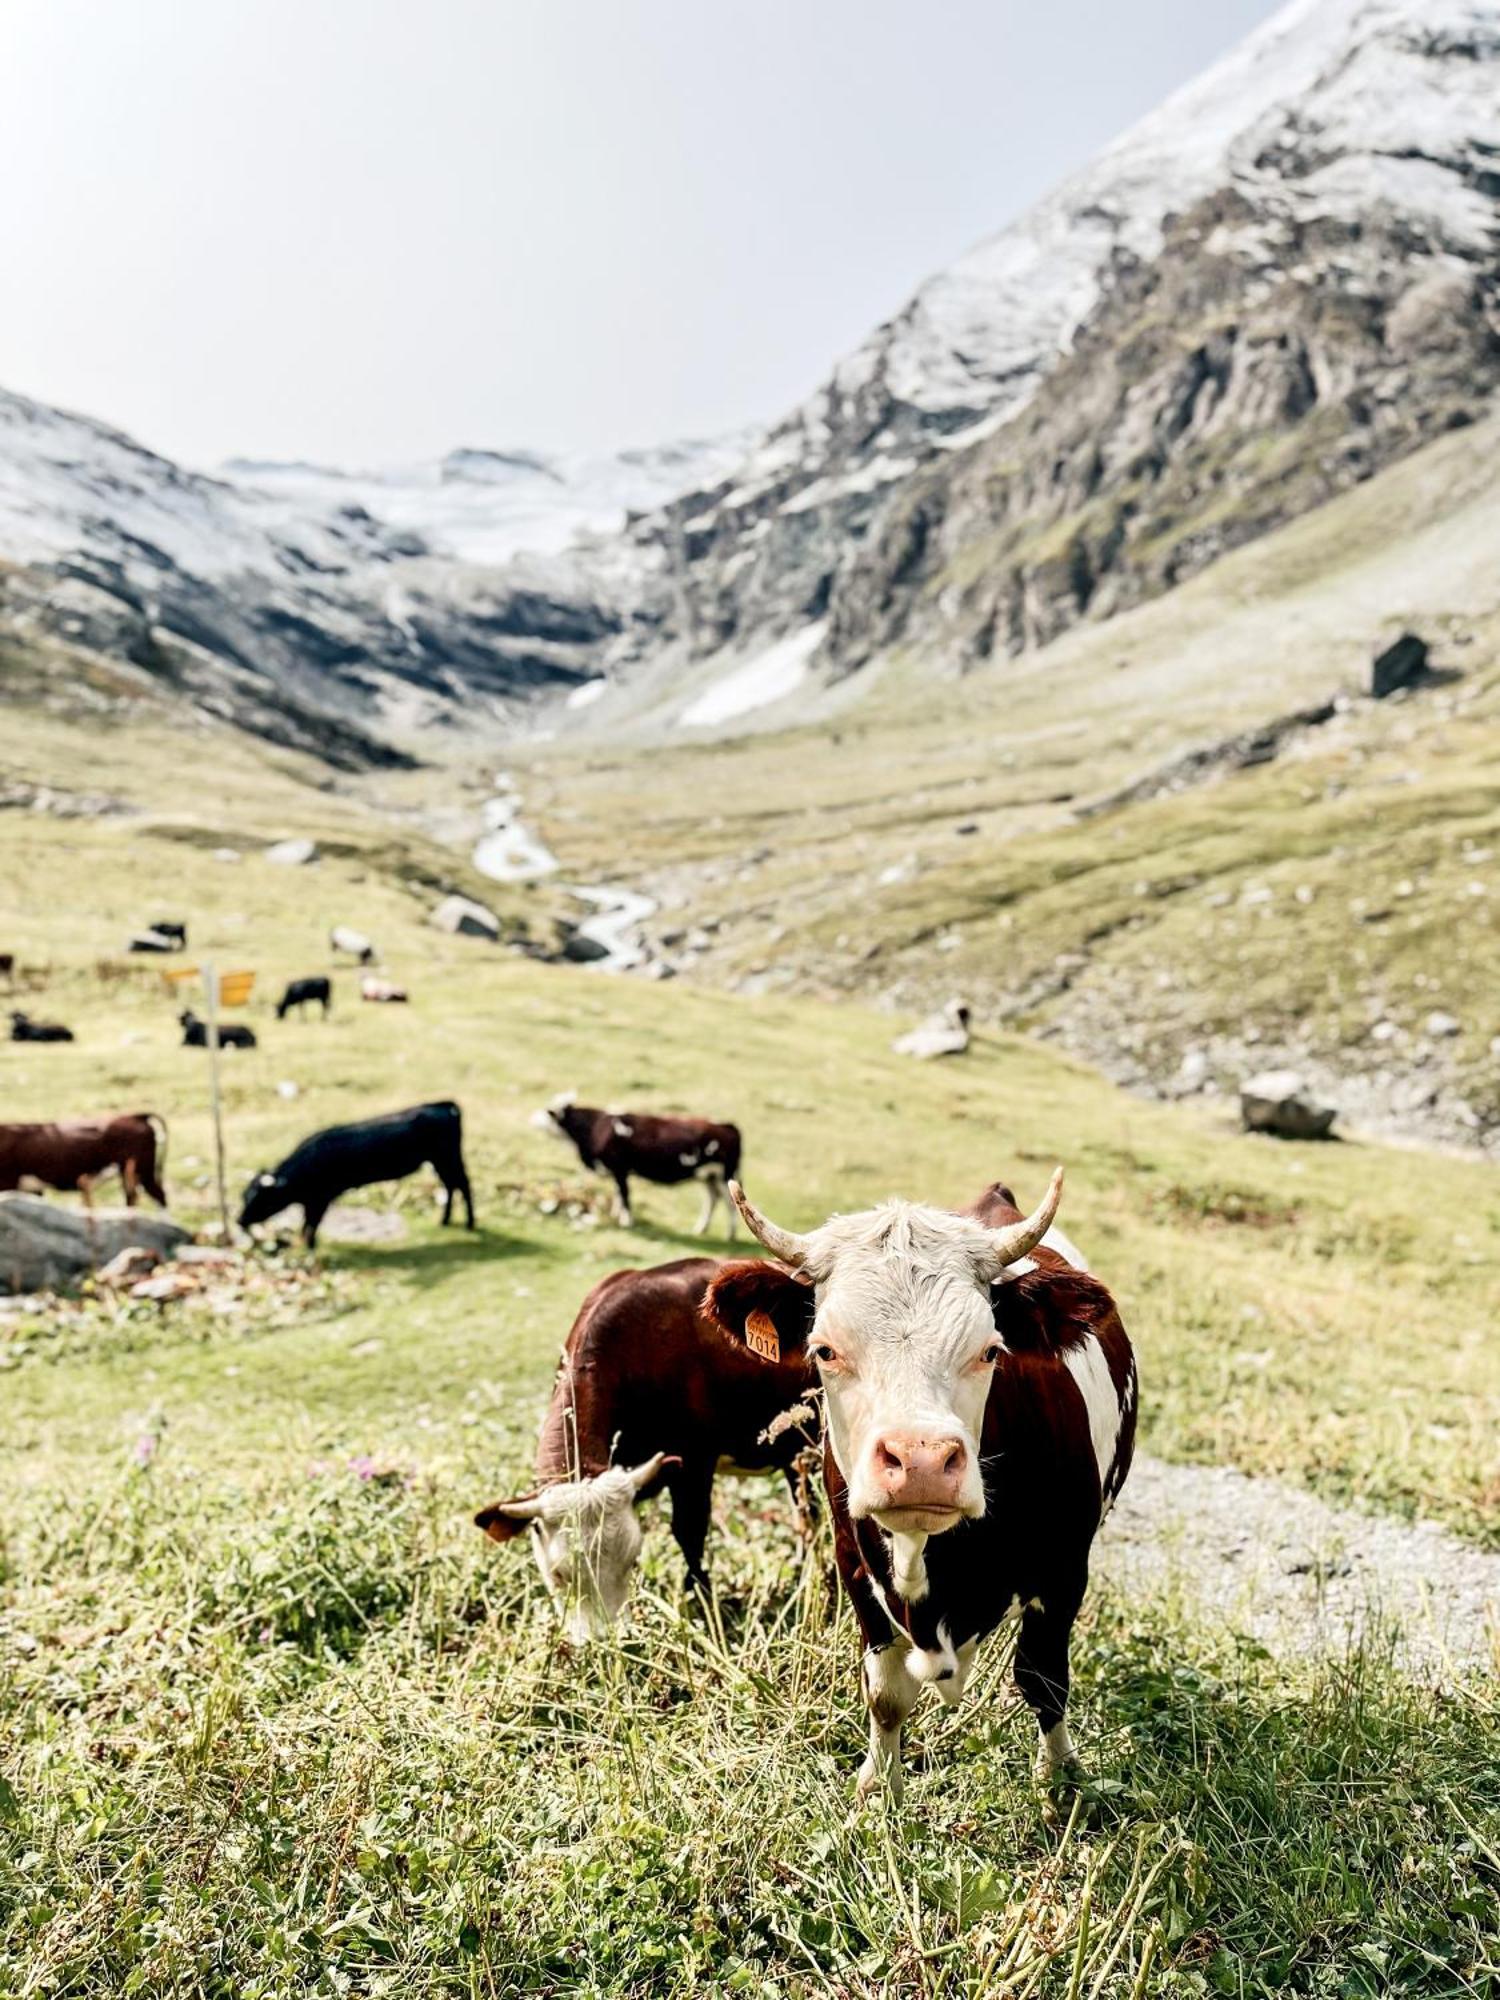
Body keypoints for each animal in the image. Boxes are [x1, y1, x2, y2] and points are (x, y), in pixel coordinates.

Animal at [0, 1112, 171, 1200]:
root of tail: (135, 1116)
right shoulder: (32, 1189)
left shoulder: (8, 1183)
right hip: (130, 1173)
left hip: (142, 1170)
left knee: (159, 1195)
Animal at [238, 1096, 472, 1248]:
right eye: (244, 1196)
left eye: (259, 1198)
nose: (240, 1220)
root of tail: (442, 1104)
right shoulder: (310, 1200)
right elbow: (306, 1224)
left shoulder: (321, 1198)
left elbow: (312, 1224)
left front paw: (309, 1247)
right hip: (440, 1161)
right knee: (451, 1185)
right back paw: (445, 1221)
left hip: (448, 1158)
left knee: (463, 1184)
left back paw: (469, 1224)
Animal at [476, 1264, 816, 1640]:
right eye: (559, 1575)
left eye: (631, 1560)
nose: (607, 1640)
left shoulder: (694, 1462)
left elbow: (689, 1532)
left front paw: (699, 1596)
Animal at [536, 1096, 748, 1232]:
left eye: (549, 1112)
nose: (534, 1117)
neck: (596, 1127)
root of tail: (728, 1126)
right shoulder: (616, 1171)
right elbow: (618, 1195)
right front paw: (617, 1216)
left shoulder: (619, 1169)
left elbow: (624, 1194)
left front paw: (626, 1222)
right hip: (710, 1176)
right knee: (713, 1199)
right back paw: (701, 1229)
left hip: (725, 1175)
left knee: (731, 1203)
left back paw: (730, 1235)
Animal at [704, 1168, 1136, 1808]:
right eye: (825, 1349)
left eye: (990, 1350)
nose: (922, 1461)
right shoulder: (855, 1569)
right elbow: (885, 1694)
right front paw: (878, 1787)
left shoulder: (1063, 1572)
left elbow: (1044, 1679)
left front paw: (1058, 1779)